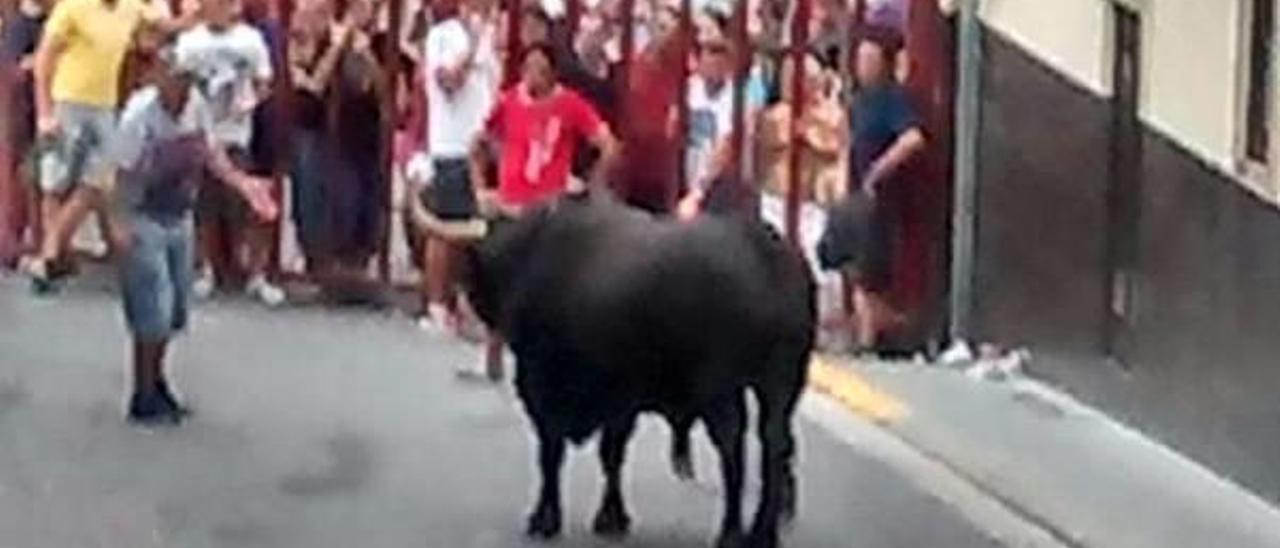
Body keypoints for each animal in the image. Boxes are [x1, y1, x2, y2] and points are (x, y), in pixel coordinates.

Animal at [465, 194, 814, 545]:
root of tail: (767, 255)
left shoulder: (544, 388)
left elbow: (553, 454)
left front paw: (545, 519)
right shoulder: (620, 401)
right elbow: (611, 455)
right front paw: (611, 517)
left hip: (721, 390)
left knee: (733, 450)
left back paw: (731, 531)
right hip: (782, 384)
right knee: (775, 445)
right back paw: (762, 531)